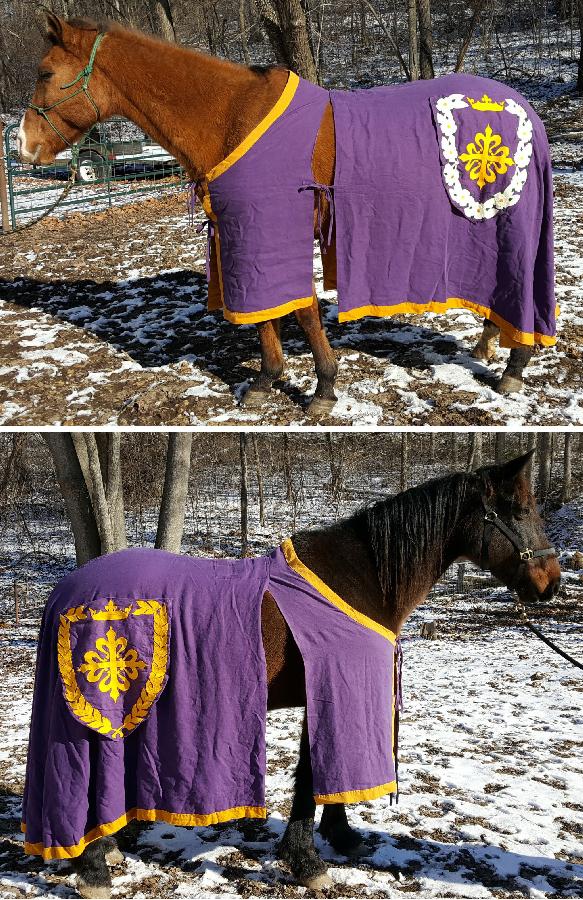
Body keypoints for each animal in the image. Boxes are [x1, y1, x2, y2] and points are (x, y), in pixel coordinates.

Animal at [16, 14, 548, 416]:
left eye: (44, 73)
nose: (23, 146)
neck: (232, 116)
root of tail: (522, 108)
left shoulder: (272, 230)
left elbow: (303, 311)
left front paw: (324, 388)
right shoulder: (247, 237)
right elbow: (265, 315)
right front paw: (267, 381)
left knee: (521, 284)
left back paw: (513, 368)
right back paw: (487, 346)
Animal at [21, 446, 560, 896]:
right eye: (518, 510)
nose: (550, 583)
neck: (361, 577)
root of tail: (66, 590)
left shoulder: (330, 694)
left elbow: (326, 769)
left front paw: (342, 837)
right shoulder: (332, 688)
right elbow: (311, 774)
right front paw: (307, 863)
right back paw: (94, 869)